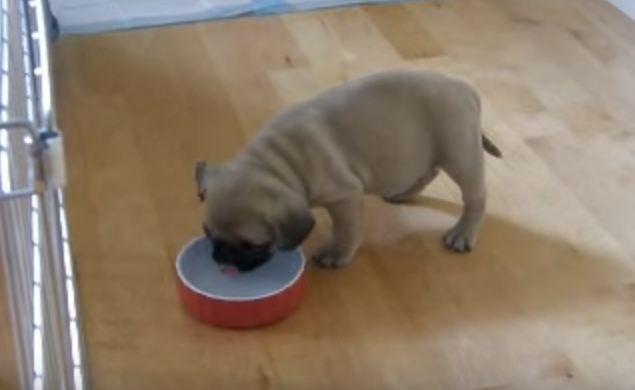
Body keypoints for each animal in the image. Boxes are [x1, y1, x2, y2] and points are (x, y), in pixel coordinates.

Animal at [196, 69, 500, 272]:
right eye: (207, 232)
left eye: (251, 245)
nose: (220, 257)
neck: (276, 163)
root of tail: (464, 88)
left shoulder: (344, 196)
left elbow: (346, 230)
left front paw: (336, 254)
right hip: (423, 153)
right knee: (428, 172)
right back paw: (402, 193)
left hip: (460, 155)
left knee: (476, 197)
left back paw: (462, 233)